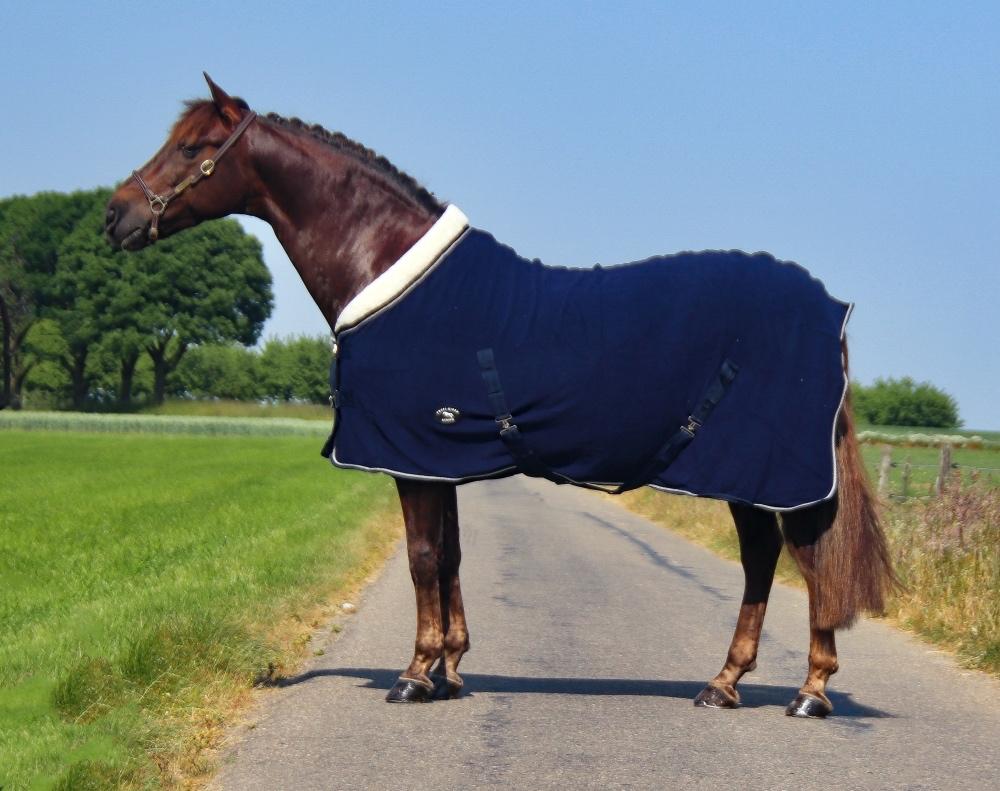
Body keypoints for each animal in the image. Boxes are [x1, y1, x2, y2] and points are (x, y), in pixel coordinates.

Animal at [105, 74, 895, 718]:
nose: (115, 217)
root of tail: (830, 308)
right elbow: (451, 556)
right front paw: (450, 668)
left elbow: (424, 557)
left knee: (800, 559)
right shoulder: (437, 456)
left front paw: (415, 674)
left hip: (767, 470)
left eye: (194, 146)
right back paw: (729, 683)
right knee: (768, 559)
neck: (391, 270)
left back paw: (806, 691)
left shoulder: (411, 456)